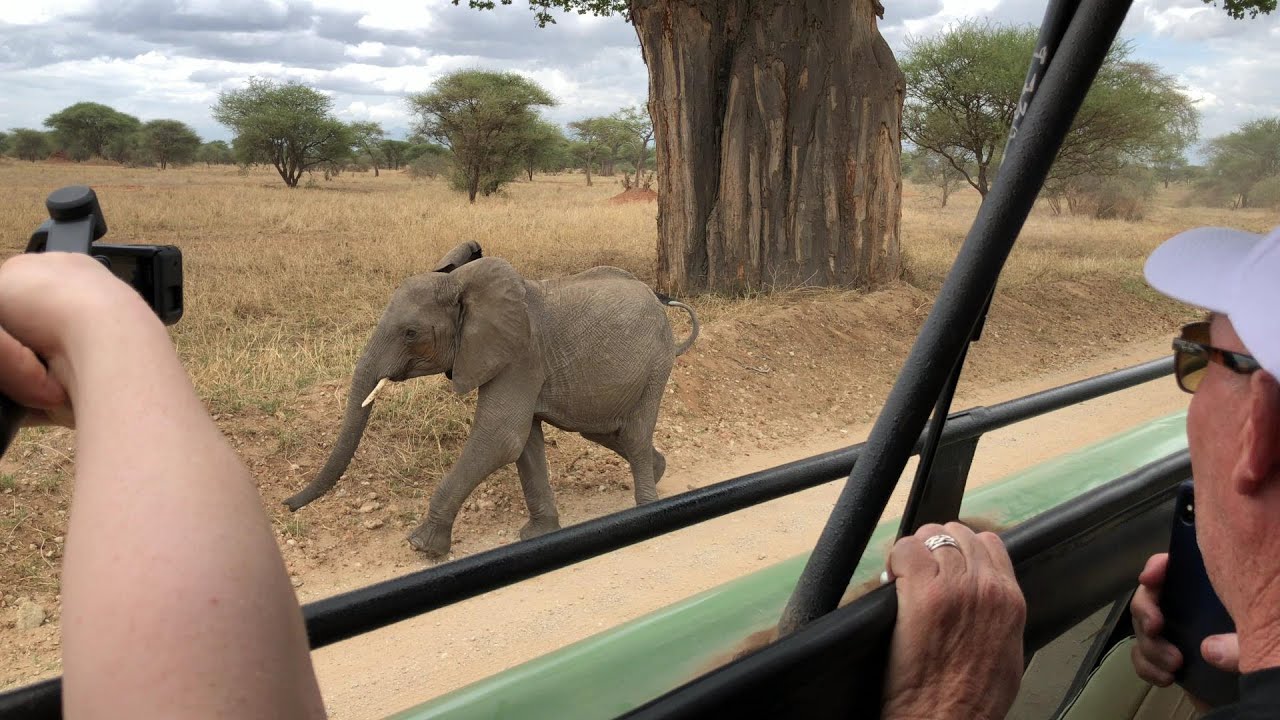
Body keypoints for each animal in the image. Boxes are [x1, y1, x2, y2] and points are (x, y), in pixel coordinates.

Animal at [283, 241, 699, 559]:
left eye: (411, 333)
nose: (286, 505)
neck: (462, 285)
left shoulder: (520, 355)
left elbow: (500, 438)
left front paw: (421, 546)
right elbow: (523, 443)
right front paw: (537, 535)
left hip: (655, 365)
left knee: (633, 433)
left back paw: (647, 506)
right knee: (604, 430)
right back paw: (659, 472)